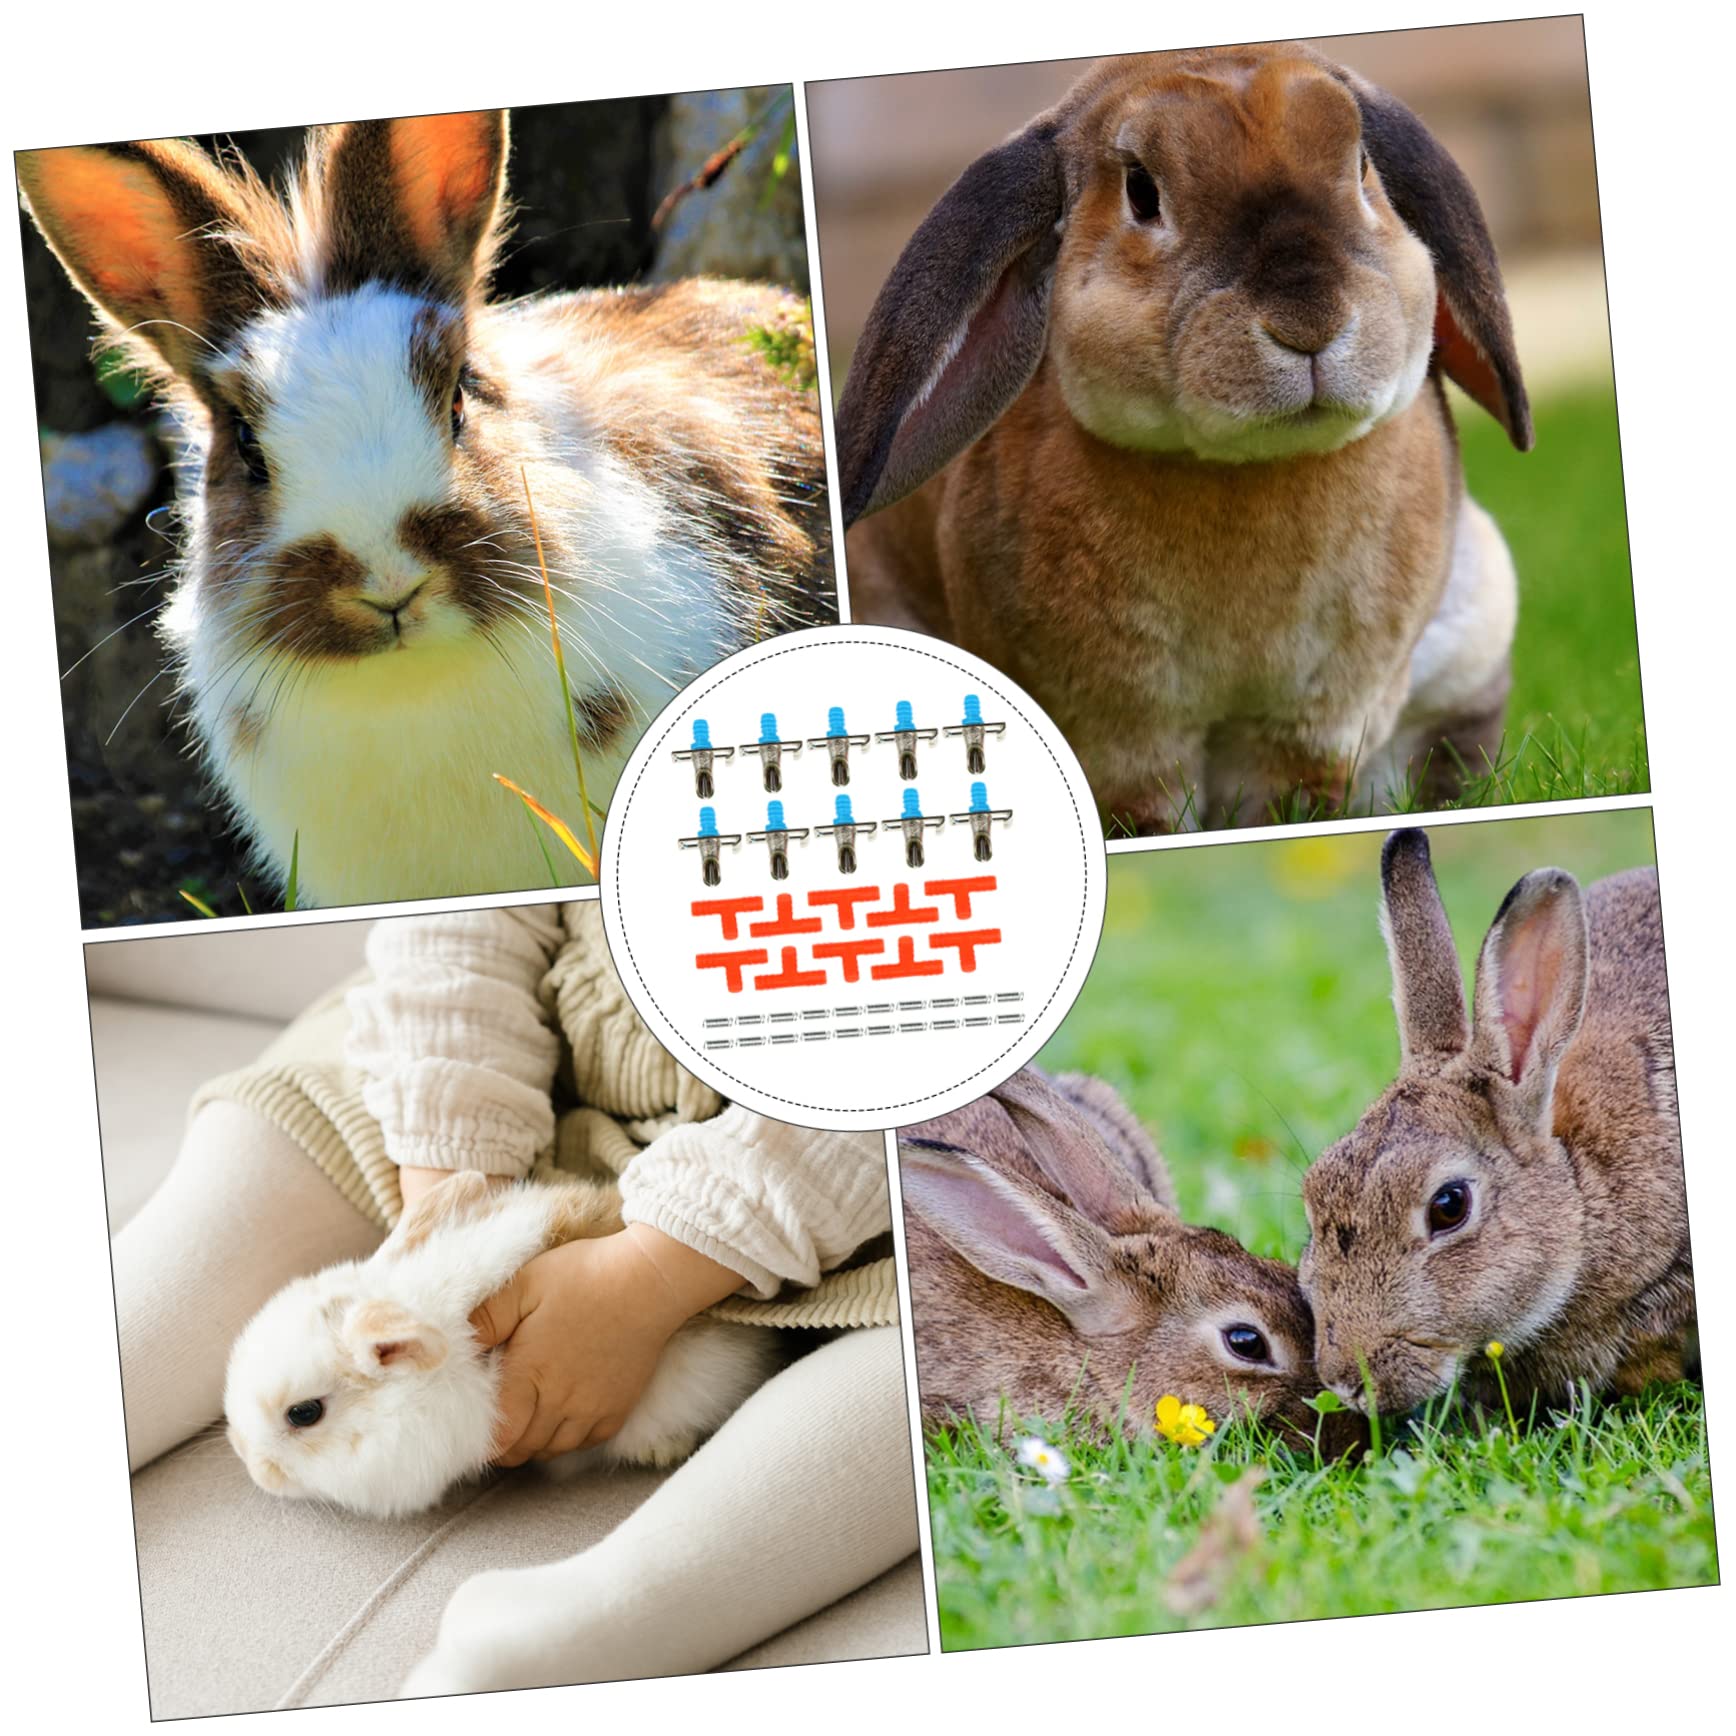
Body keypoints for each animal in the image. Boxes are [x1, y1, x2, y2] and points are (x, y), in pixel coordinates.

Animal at [833, 44, 1530, 833]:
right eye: (1142, 191)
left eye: (1360, 168)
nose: (1309, 321)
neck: (1249, 469)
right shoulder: (1124, 734)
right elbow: (1151, 811)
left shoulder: (1316, 721)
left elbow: (1292, 797)